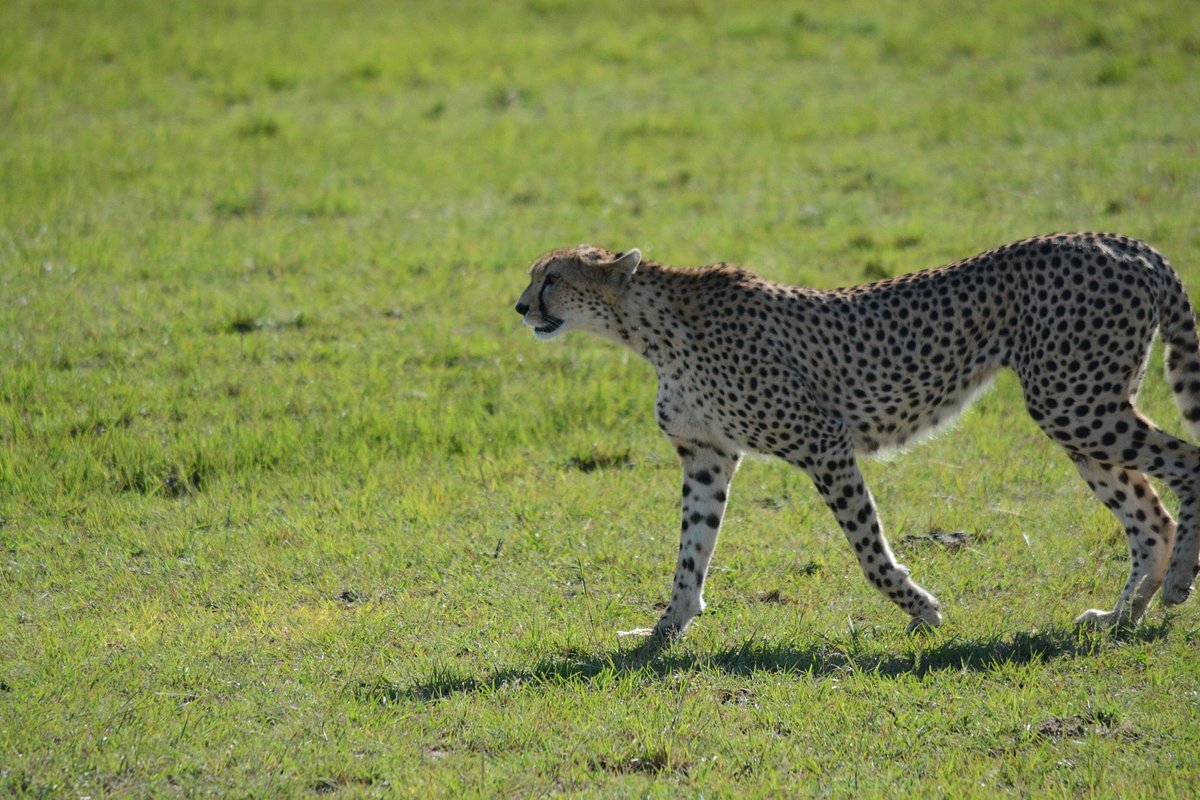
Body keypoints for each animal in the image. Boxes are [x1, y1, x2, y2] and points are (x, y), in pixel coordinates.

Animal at [514, 233, 1200, 637]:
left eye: (552, 278)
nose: (521, 308)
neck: (648, 329)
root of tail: (1123, 242)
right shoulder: (707, 457)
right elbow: (690, 553)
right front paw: (663, 631)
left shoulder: (823, 443)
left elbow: (868, 551)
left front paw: (922, 608)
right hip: (1081, 415)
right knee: (1150, 517)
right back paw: (1120, 617)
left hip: (1075, 404)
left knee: (1187, 465)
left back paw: (1177, 583)